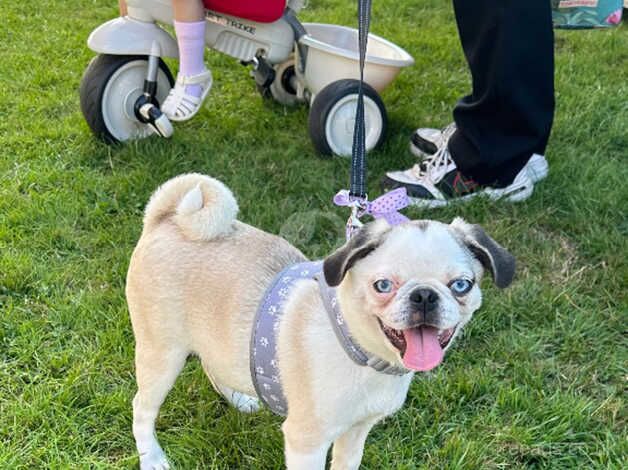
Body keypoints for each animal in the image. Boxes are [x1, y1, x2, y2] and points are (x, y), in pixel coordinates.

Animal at [127, 173, 516, 470]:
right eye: (383, 285)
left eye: (461, 285)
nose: (423, 296)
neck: (360, 350)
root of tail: (165, 220)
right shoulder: (306, 441)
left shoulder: (355, 433)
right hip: (162, 355)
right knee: (142, 409)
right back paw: (152, 458)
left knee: (212, 363)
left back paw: (239, 399)